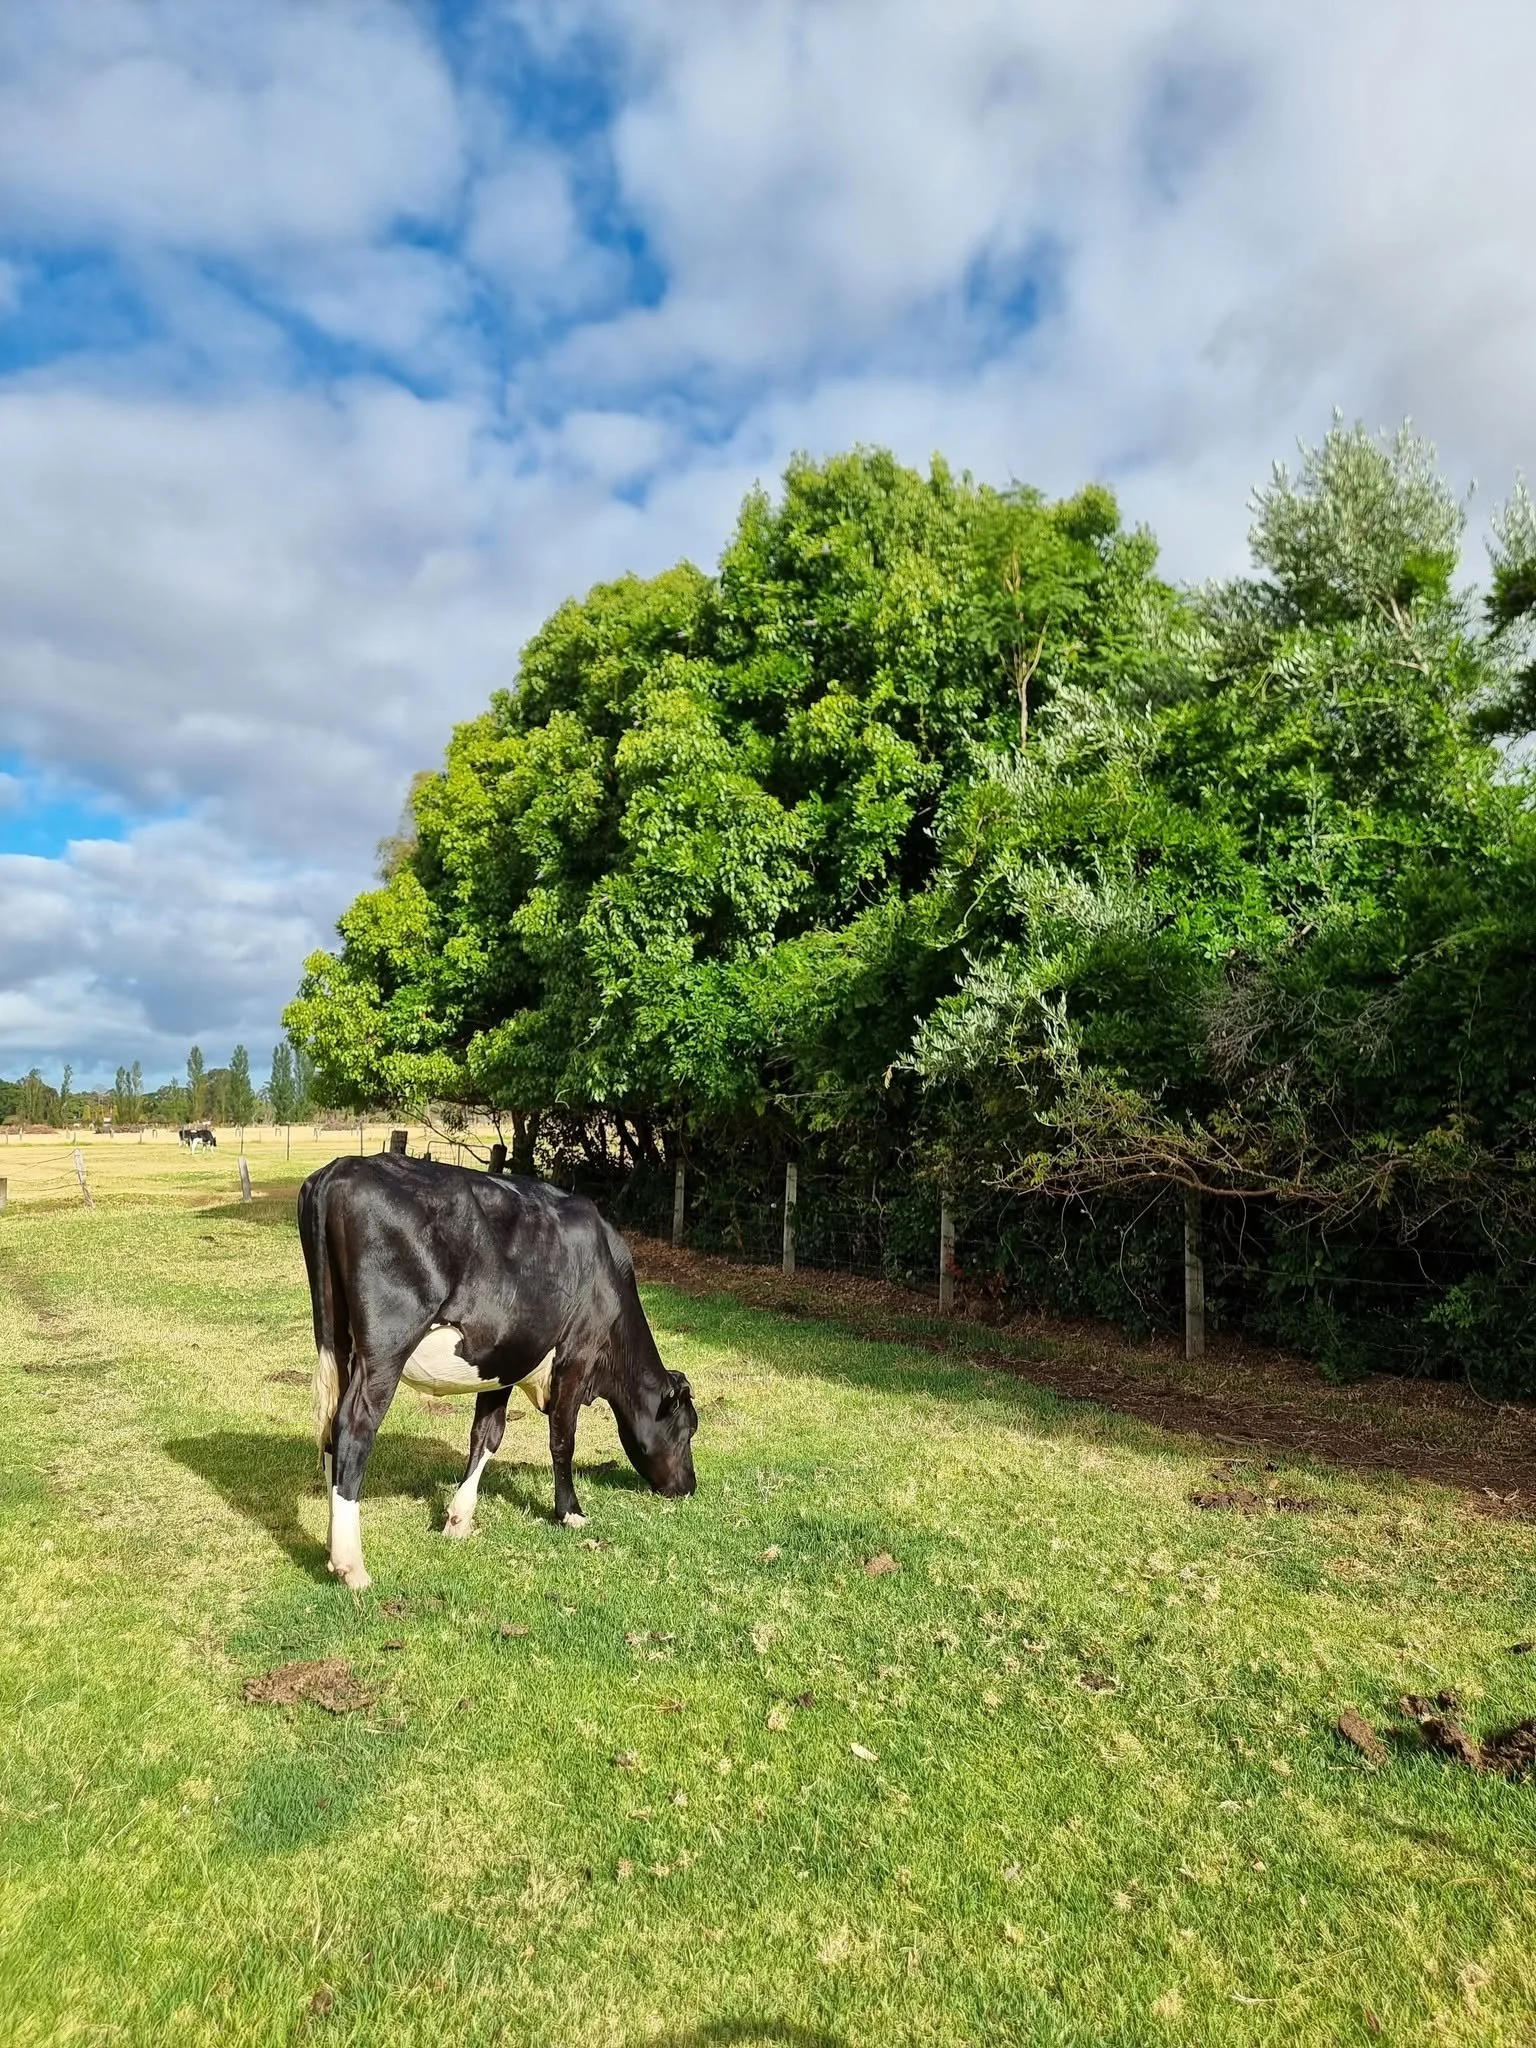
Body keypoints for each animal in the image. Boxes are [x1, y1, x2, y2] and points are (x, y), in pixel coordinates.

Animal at [297, 1153, 698, 1590]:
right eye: (688, 1429)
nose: (690, 1487)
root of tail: (340, 1168)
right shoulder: (575, 1357)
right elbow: (563, 1441)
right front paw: (570, 1512)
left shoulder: (504, 1360)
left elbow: (487, 1434)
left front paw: (459, 1518)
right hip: (386, 1346)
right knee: (354, 1426)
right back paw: (351, 1564)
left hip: (338, 1340)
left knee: (331, 1428)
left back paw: (332, 1543)